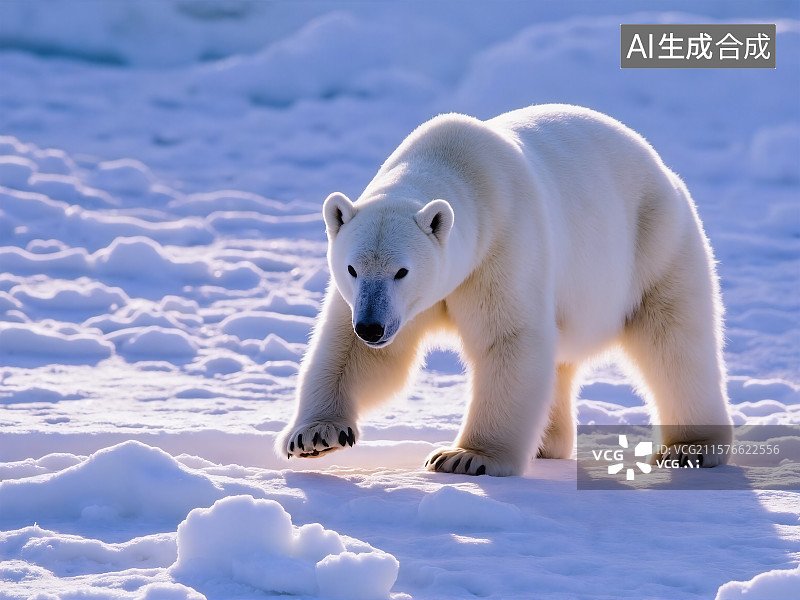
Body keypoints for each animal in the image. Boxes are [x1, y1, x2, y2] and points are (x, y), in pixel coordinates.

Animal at [276, 104, 733, 476]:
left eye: (402, 271)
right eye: (352, 268)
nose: (371, 327)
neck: (454, 166)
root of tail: (662, 169)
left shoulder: (502, 245)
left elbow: (509, 338)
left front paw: (466, 457)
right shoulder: (382, 303)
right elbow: (355, 353)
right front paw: (313, 436)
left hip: (656, 242)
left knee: (674, 343)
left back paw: (691, 448)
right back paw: (547, 442)